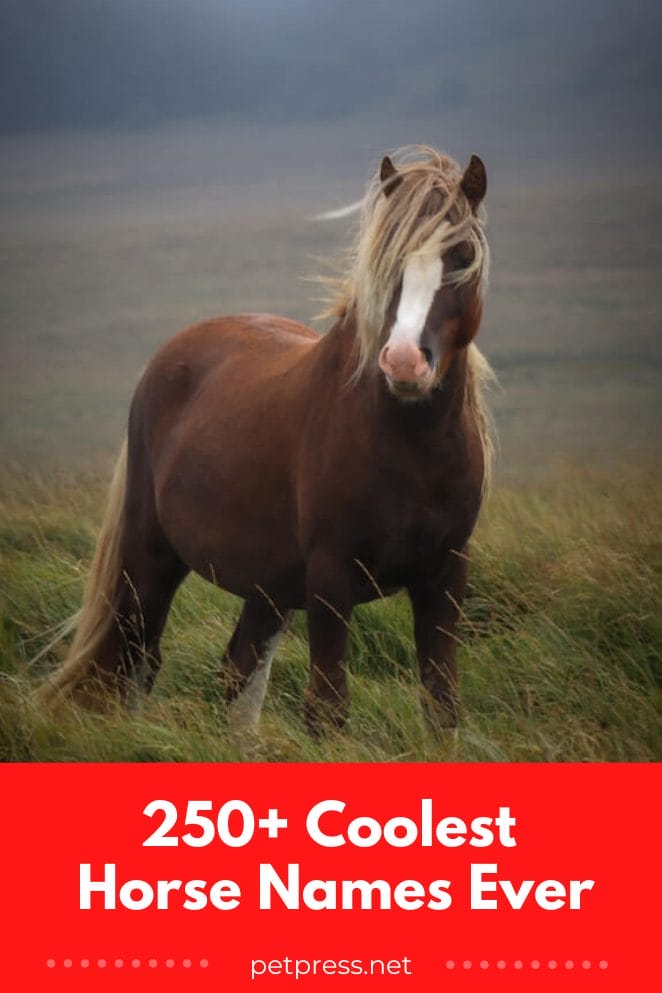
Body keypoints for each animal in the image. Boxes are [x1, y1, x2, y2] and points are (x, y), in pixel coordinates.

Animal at [38, 145, 494, 739]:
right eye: (387, 261)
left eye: (461, 255)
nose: (403, 362)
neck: (411, 449)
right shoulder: (330, 577)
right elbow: (327, 708)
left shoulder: (445, 574)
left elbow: (442, 705)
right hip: (150, 557)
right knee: (137, 659)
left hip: (269, 584)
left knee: (239, 671)